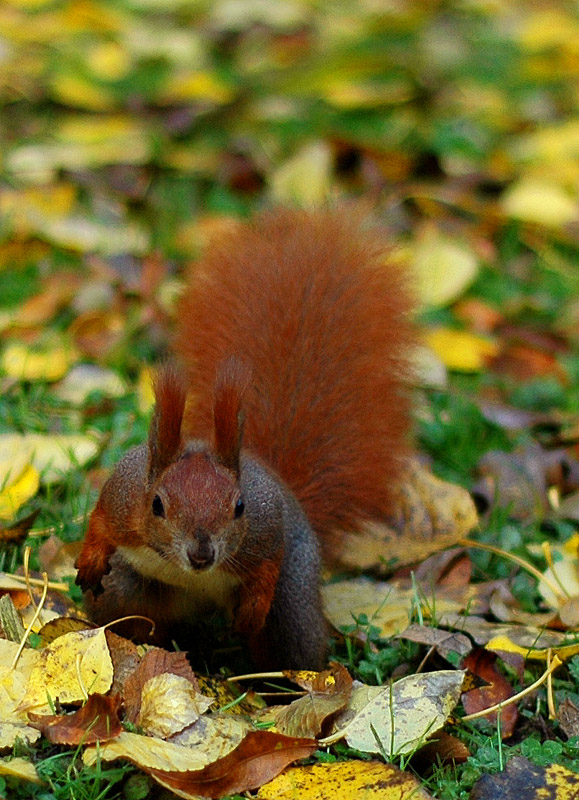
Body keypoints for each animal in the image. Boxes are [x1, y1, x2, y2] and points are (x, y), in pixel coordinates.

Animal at [75, 206, 414, 668]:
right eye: (157, 505)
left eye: (239, 507)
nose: (202, 555)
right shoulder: (122, 497)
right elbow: (99, 522)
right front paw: (90, 559)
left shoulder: (266, 531)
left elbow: (266, 567)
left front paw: (251, 612)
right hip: (126, 590)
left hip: (293, 605)